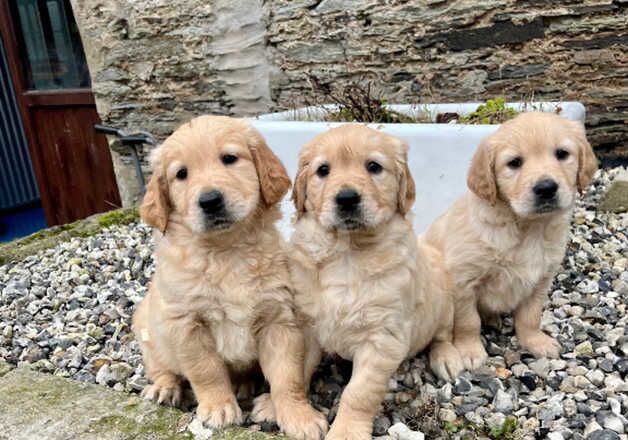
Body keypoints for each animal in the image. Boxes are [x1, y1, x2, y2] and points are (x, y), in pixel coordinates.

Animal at [133, 115, 328, 438]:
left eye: (229, 158)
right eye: (181, 174)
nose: (210, 200)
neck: (227, 251)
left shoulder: (279, 320)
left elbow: (287, 376)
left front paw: (299, 416)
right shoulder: (187, 324)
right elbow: (206, 371)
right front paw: (218, 408)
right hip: (147, 329)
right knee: (161, 367)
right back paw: (163, 388)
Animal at [288, 124, 458, 440]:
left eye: (374, 167)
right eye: (323, 170)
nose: (346, 198)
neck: (347, 252)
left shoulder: (381, 338)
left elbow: (359, 393)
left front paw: (345, 432)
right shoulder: (305, 323)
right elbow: (295, 369)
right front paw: (281, 408)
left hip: (443, 298)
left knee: (442, 334)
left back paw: (448, 358)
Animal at [424, 111, 596, 372]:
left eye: (562, 154)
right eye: (514, 162)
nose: (546, 188)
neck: (528, 228)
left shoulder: (541, 279)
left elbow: (530, 316)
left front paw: (535, 341)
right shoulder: (463, 281)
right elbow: (468, 321)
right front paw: (469, 351)